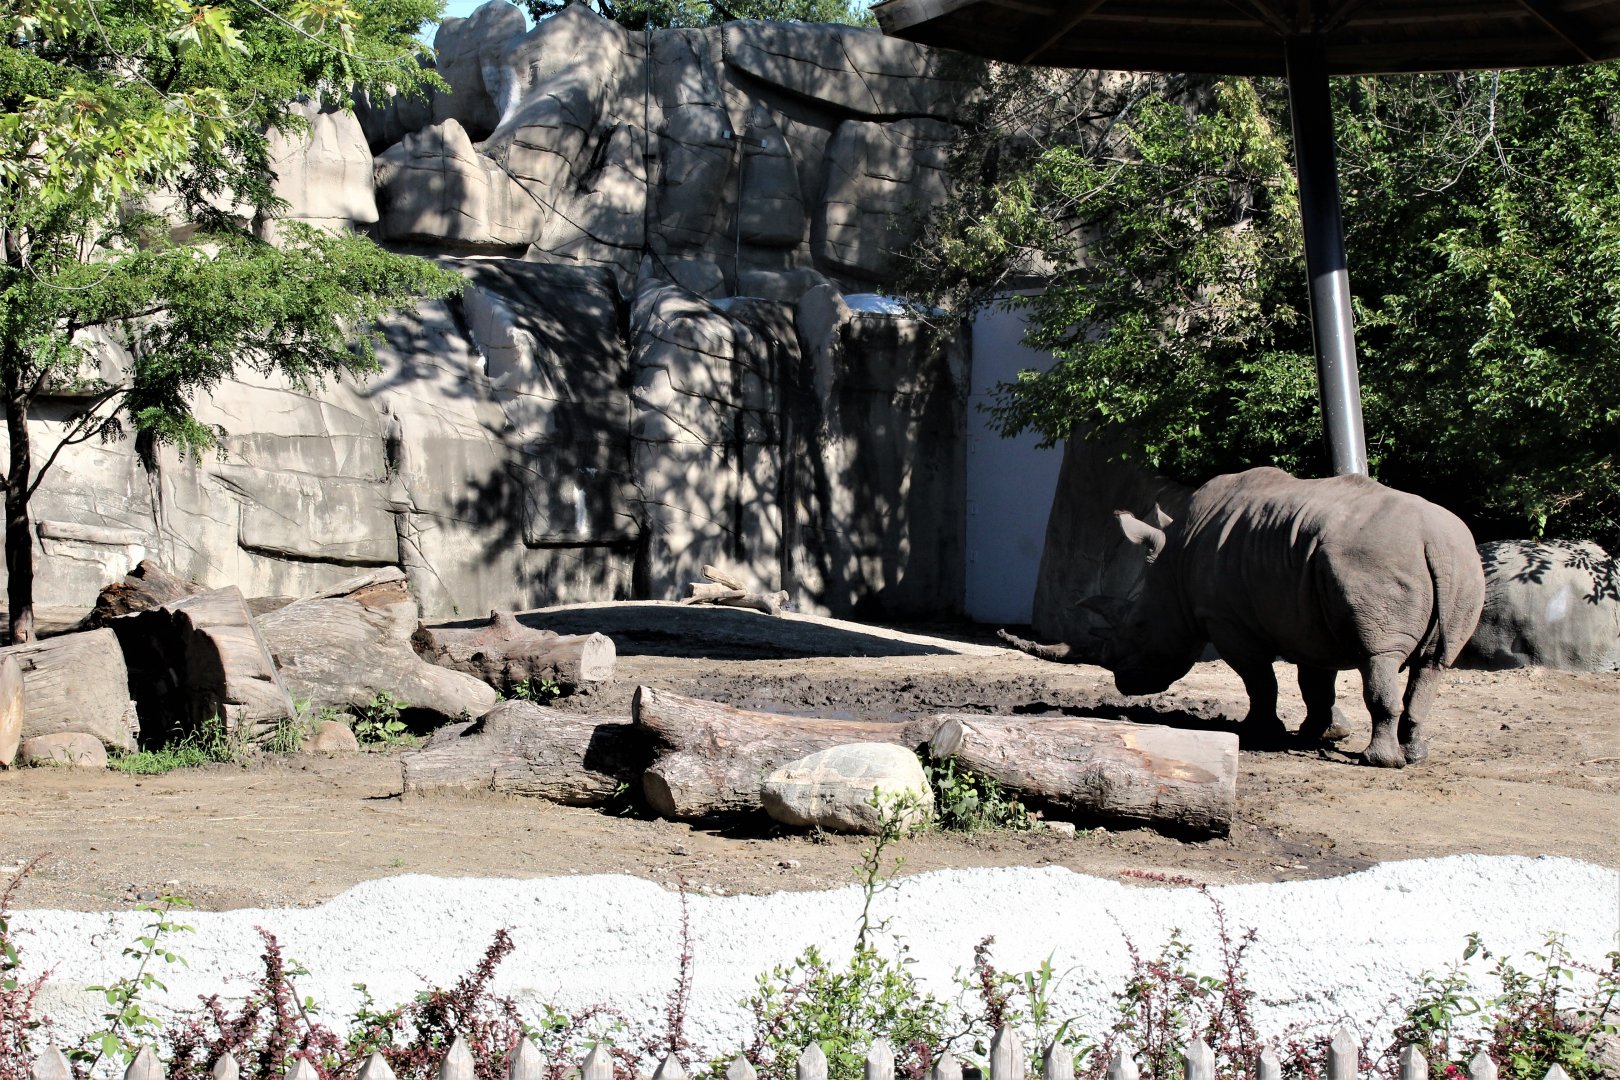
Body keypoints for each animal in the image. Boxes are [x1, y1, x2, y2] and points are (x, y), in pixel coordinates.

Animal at [1002, 467, 1486, 767]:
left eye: (1136, 628)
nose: (1126, 684)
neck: (1175, 566)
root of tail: (1433, 541)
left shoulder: (1227, 622)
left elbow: (1260, 680)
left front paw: (1260, 733)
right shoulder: (1306, 611)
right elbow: (1315, 681)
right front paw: (1317, 735)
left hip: (1377, 562)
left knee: (1379, 657)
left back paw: (1379, 762)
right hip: (1462, 564)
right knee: (1434, 664)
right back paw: (1417, 754)